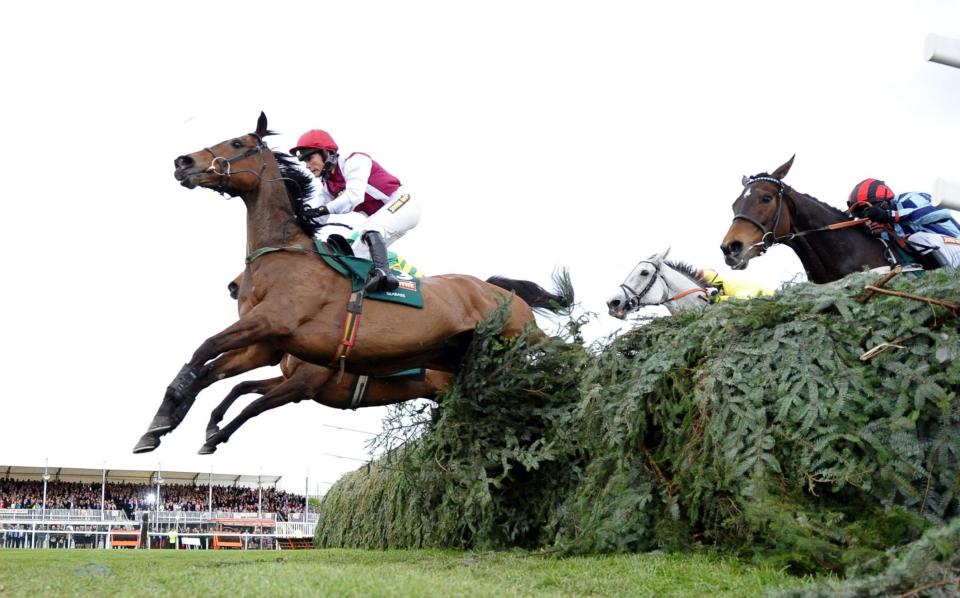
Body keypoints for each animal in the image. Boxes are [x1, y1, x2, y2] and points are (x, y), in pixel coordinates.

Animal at [132, 112, 572, 454]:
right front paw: (164, 425)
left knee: (561, 351)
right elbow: (220, 375)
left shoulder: (280, 336)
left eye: (237, 141)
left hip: (518, 336)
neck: (285, 254)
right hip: (461, 359)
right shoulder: (266, 342)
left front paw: (191, 425)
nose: (183, 161)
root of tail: (496, 289)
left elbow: (208, 357)